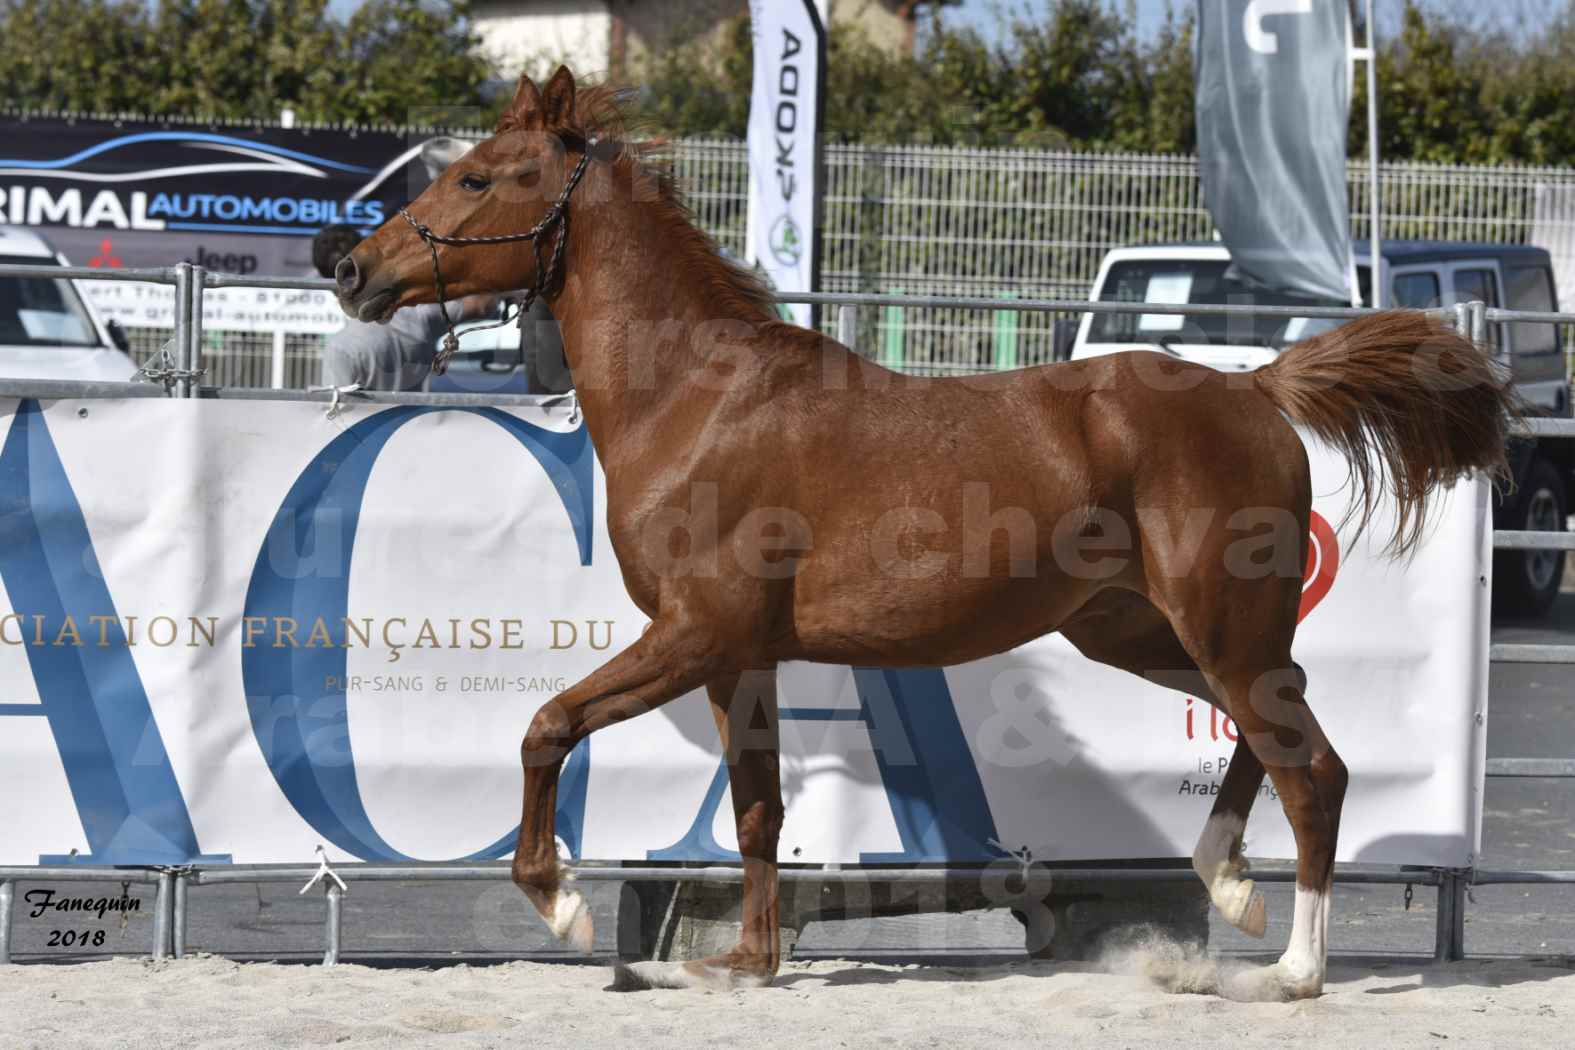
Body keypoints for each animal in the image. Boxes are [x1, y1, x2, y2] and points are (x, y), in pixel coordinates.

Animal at [335, 69, 1512, 1001]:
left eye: (479, 177)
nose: (351, 270)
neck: (697, 398)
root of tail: (1257, 388)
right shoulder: (738, 656)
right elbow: (757, 812)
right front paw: (746, 962)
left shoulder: (695, 633)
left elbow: (546, 725)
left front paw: (563, 904)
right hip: (1137, 633)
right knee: (1279, 743)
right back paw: (1229, 891)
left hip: (1220, 628)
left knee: (1311, 769)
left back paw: (1294, 968)